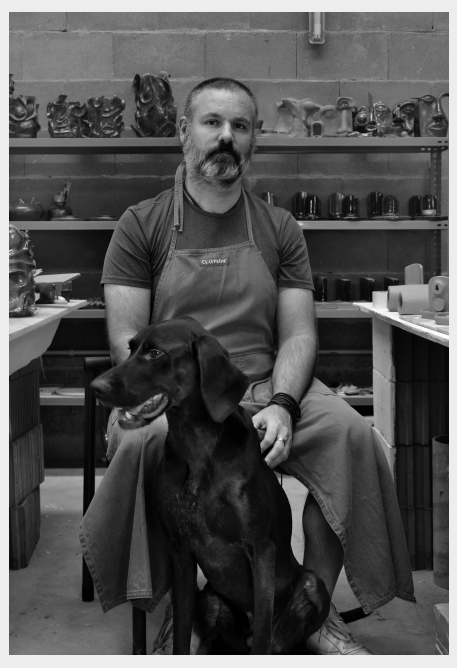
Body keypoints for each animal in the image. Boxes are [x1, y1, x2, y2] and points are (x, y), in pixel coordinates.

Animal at [91, 316, 330, 654]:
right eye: (131, 348)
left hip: (312, 587)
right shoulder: (180, 551)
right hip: (211, 600)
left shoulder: (261, 549)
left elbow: (262, 633)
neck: (198, 447)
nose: (95, 387)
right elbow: (180, 635)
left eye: (155, 353)